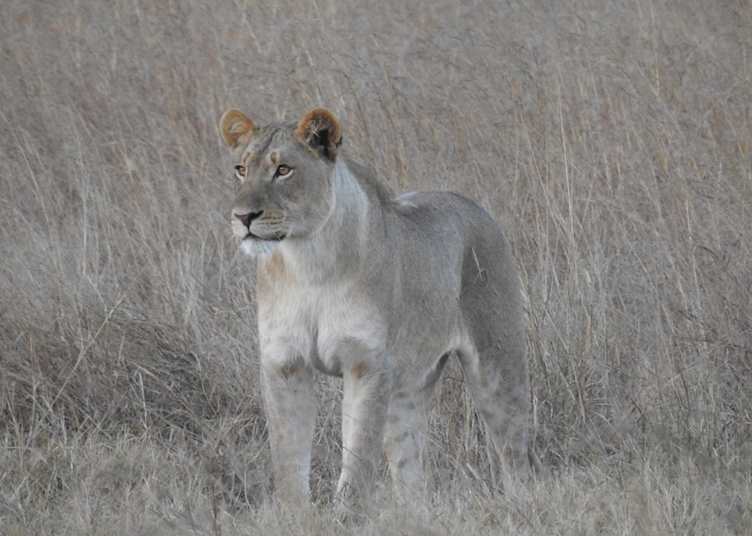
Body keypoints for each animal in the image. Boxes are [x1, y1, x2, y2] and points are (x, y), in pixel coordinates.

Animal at [218, 107, 532, 509]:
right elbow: (288, 459)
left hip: (496, 368)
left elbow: (357, 456)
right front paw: (293, 514)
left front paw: (345, 513)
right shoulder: (284, 362)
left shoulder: (365, 364)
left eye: (283, 169)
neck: (308, 264)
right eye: (240, 169)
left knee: (514, 454)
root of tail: (475, 207)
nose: (243, 217)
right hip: (408, 388)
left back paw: (522, 504)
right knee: (410, 472)